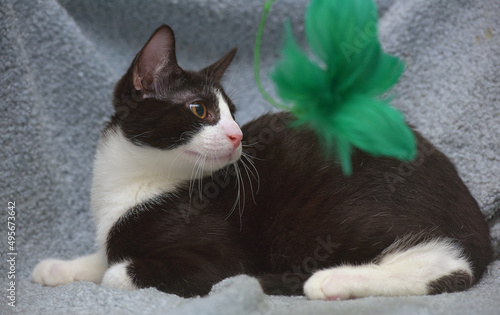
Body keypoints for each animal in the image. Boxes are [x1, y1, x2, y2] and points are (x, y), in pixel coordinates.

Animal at [32, 25, 492, 302]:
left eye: (233, 113)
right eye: (201, 110)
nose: (237, 135)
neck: (136, 180)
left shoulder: (216, 257)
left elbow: (118, 271)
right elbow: (104, 255)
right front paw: (57, 267)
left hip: (337, 213)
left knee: (449, 266)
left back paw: (331, 280)